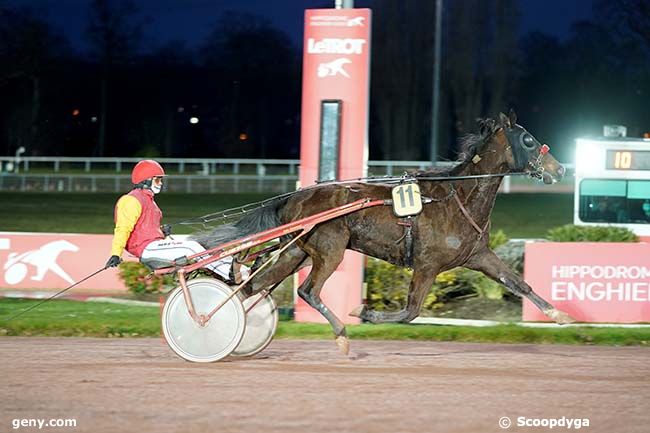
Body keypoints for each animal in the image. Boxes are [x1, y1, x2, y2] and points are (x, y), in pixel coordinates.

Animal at [191, 109, 572, 352]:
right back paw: (341, 334)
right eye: (528, 139)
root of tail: (294, 197)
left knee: (250, 288)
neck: (457, 197)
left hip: (295, 251)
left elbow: (518, 283)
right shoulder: (427, 265)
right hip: (329, 249)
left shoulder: (478, 256)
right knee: (307, 291)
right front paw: (365, 312)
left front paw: (560, 315)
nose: (561, 168)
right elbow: (411, 311)